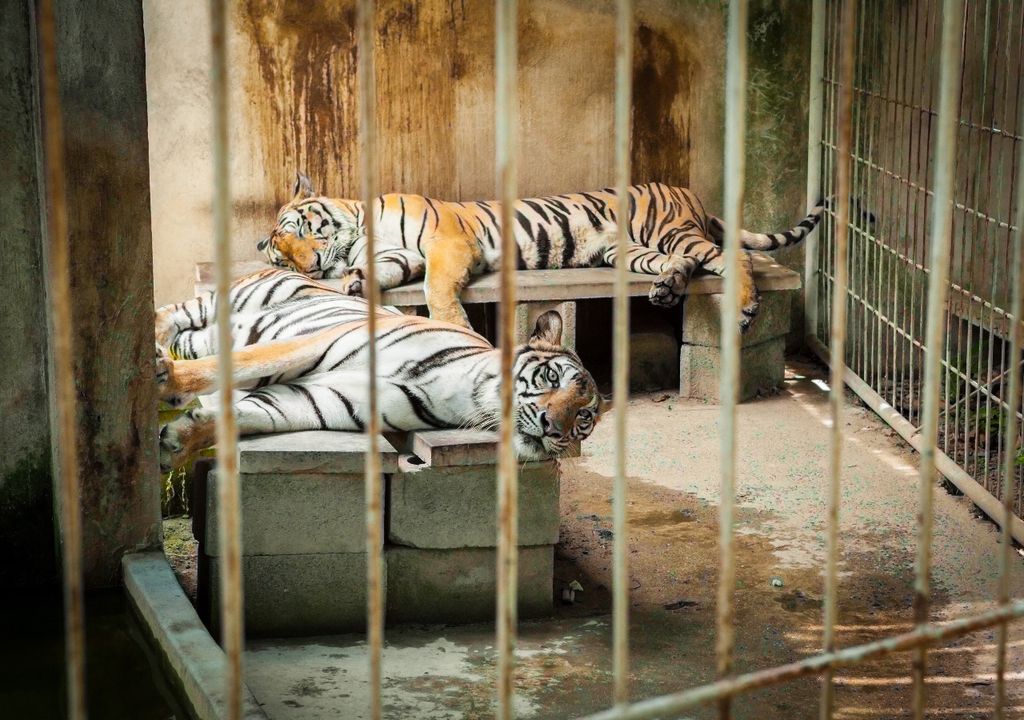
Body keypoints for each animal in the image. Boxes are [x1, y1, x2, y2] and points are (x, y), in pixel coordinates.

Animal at [154, 268, 608, 470]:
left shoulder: (322, 400)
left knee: (188, 336)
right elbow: (241, 365)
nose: (555, 428)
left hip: (206, 334)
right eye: (552, 378)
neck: (466, 394)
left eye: (583, 419)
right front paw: (170, 382)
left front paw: (179, 440)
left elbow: (247, 414)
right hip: (232, 302)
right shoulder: (311, 344)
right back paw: (155, 348)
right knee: (176, 311)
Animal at [258, 172, 824, 331]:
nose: (310, 266)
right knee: (681, 263)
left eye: (300, 228)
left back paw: (746, 306)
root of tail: (690, 193)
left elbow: (437, 290)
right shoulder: (405, 255)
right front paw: (355, 283)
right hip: (629, 251)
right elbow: (381, 270)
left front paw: (455, 324)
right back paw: (666, 290)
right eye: (281, 258)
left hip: (669, 230)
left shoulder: (447, 244)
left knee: (733, 257)